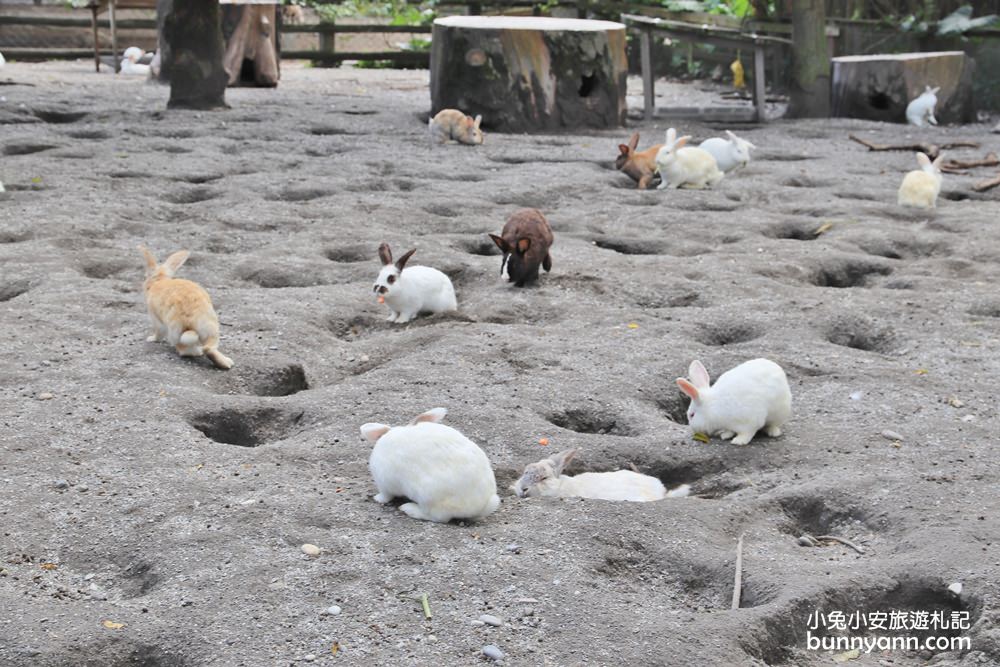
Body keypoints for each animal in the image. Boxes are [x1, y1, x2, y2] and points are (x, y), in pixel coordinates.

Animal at [360, 408, 500, 520]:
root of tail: (480, 507)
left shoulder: (384, 483)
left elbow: (386, 496)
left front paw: (377, 498)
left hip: (429, 499)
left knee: (437, 517)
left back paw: (408, 509)